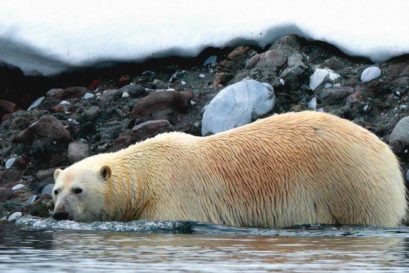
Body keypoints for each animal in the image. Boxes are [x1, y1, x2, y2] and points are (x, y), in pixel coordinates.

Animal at [52, 111, 406, 227]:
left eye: (78, 189)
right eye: (56, 190)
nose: (58, 213)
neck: (148, 173)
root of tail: (387, 154)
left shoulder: (173, 202)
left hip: (353, 185)